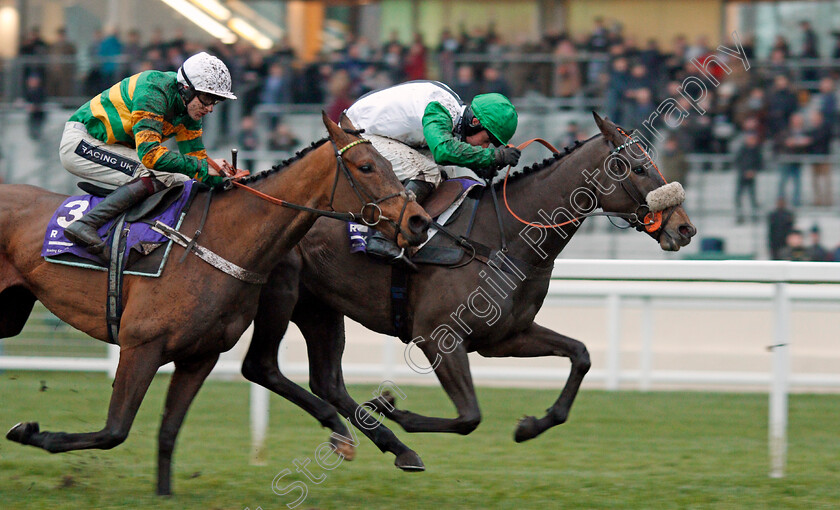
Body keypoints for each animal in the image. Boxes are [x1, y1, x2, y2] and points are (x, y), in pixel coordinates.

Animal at [0, 112, 430, 494]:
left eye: (391, 163)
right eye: (367, 166)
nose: (418, 221)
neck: (216, 240)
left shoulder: (199, 356)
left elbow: (168, 432)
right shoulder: (141, 346)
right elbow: (113, 431)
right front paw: (29, 432)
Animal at [241, 112, 696, 470]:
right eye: (638, 168)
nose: (684, 228)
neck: (504, 239)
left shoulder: (505, 337)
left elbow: (580, 355)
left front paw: (531, 426)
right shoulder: (437, 336)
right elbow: (469, 417)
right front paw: (395, 409)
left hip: (321, 307)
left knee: (328, 381)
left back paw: (388, 444)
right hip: (280, 294)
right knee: (262, 367)